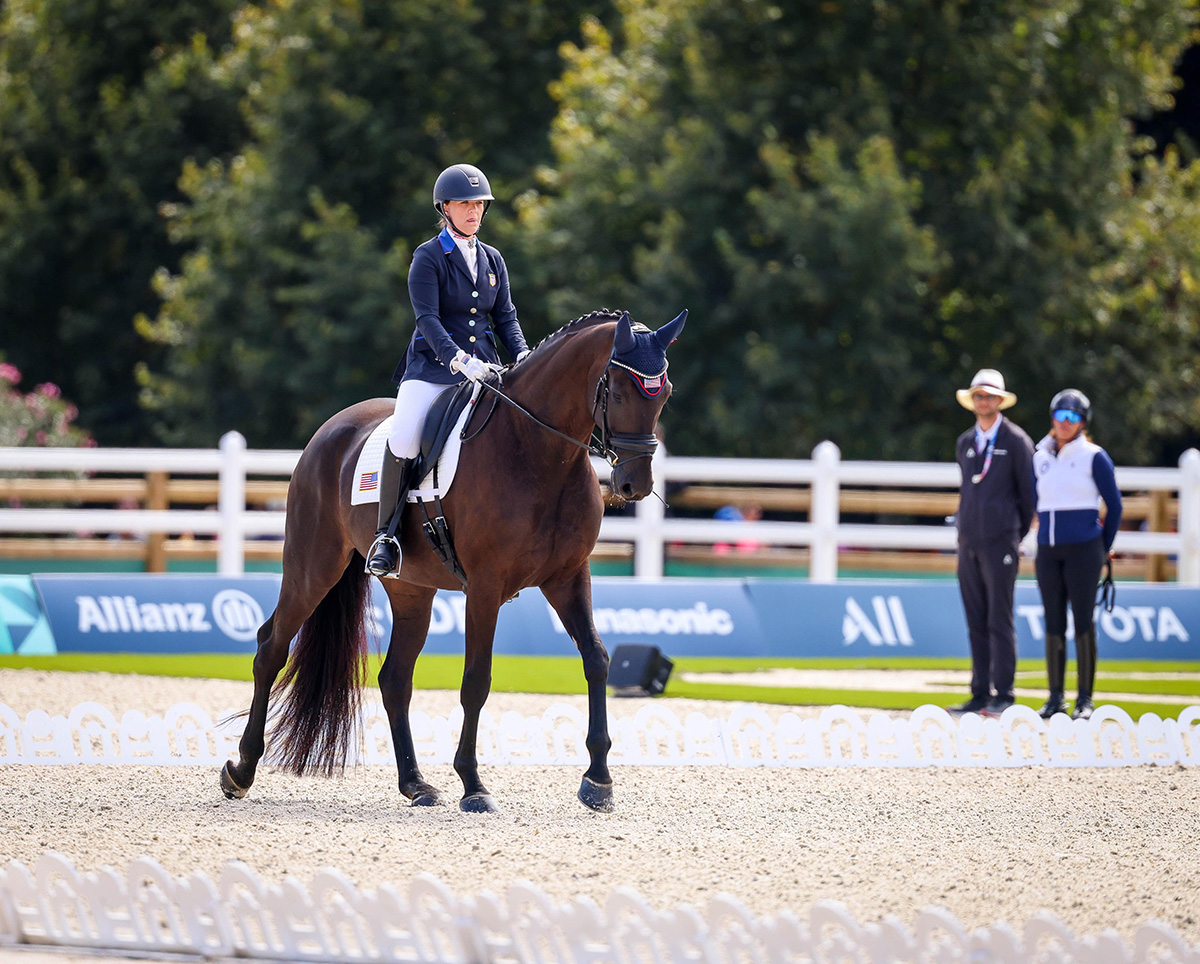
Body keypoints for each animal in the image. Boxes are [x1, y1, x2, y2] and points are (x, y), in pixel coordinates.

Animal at [217, 309, 686, 816]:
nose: (636, 484)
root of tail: (331, 430)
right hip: (313, 567)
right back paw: (240, 771)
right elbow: (476, 680)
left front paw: (598, 781)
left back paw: (415, 784)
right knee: (270, 648)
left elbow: (597, 659)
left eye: (665, 394)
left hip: (411, 590)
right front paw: (474, 785)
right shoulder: (485, 587)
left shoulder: (568, 578)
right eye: (617, 392)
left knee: (394, 679)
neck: (537, 451)